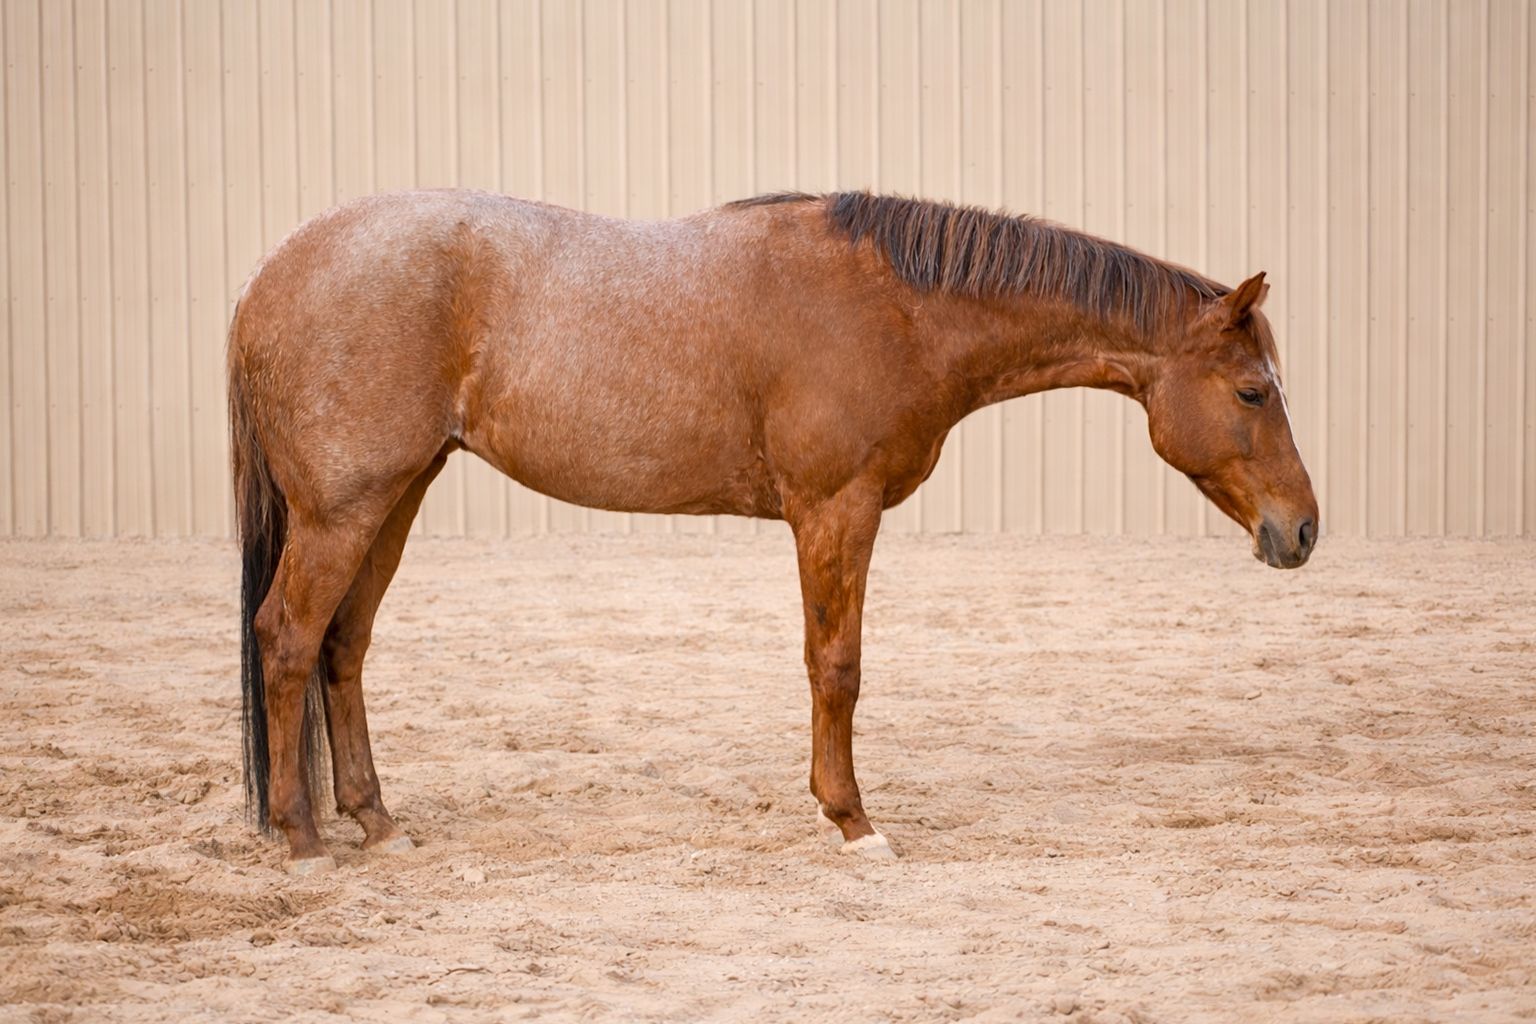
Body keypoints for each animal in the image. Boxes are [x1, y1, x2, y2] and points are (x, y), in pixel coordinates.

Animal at [228, 189, 1318, 874]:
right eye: (1253, 391)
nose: (1303, 529)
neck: (896, 306)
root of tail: (269, 278)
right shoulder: (836, 508)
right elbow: (836, 665)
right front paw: (854, 822)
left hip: (394, 497)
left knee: (343, 648)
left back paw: (376, 821)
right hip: (343, 510)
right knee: (287, 639)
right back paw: (301, 838)